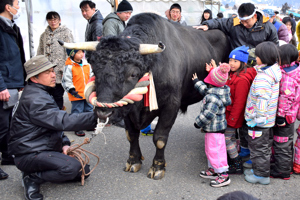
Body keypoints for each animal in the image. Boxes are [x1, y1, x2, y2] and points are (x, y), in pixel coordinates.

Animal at [89, 13, 230, 180]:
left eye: (133, 74)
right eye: (94, 70)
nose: (103, 112)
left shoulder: (171, 105)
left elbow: (160, 138)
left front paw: (157, 167)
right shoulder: (127, 109)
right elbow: (131, 135)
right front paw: (133, 161)